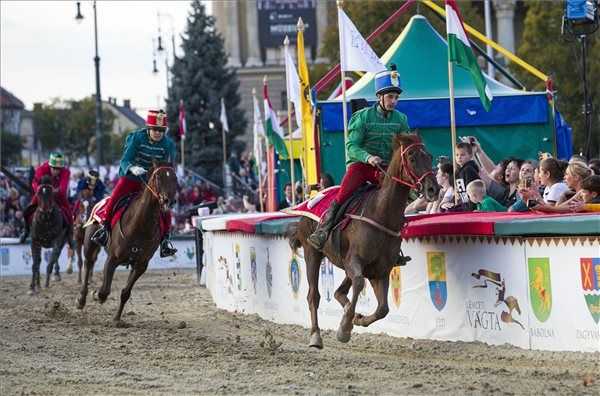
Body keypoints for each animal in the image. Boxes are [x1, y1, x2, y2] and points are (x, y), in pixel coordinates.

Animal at [76, 162, 177, 324]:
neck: (140, 225)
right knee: (88, 263)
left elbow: (125, 293)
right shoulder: (112, 259)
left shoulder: (140, 265)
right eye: (157, 177)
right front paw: (96, 294)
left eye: (175, 178)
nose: (169, 201)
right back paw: (81, 299)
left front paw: (117, 318)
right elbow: (104, 291)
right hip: (90, 245)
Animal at [288, 135, 438, 348]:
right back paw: (316, 335)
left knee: (339, 292)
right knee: (314, 295)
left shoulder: (380, 270)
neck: (381, 213)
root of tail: (312, 197)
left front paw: (356, 319)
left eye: (429, 156)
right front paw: (344, 328)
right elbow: (359, 284)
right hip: (312, 253)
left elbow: (383, 309)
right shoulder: (355, 260)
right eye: (411, 157)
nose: (433, 189)